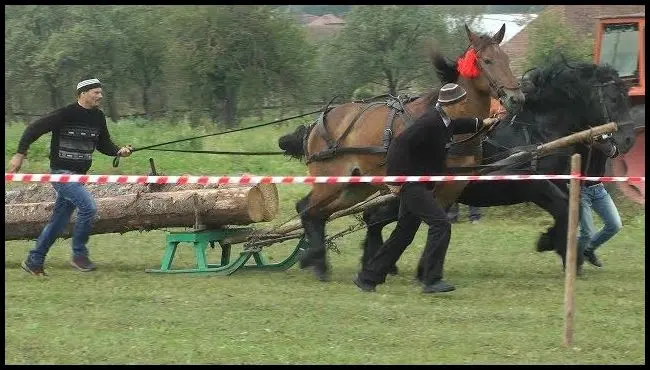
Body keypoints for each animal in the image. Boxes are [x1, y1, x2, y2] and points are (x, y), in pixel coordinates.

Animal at [278, 23, 520, 280]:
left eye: (506, 58)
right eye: (487, 60)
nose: (516, 98)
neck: (451, 121)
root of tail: (316, 124)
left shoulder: (453, 186)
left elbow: (434, 221)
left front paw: (423, 268)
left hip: (355, 187)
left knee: (318, 214)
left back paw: (318, 260)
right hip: (330, 182)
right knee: (306, 209)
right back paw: (317, 261)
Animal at [362, 57, 636, 272]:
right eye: (613, 99)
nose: (629, 139)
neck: (535, 133)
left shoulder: (559, 182)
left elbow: (574, 207)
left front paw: (556, 244)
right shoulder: (535, 186)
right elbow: (563, 208)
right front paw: (560, 249)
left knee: (374, 218)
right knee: (373, 217)